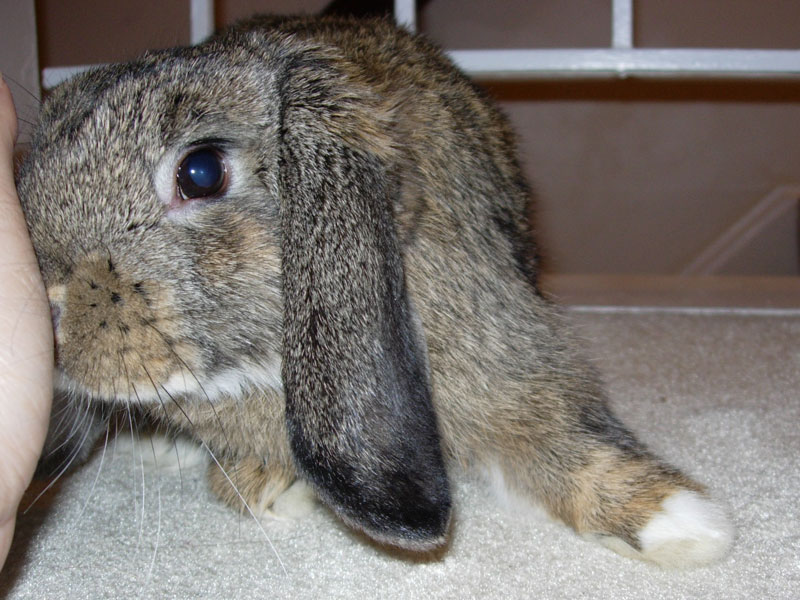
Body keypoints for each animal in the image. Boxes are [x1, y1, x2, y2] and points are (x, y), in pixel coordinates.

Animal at [17, 15, 732, 568]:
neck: (263, 374)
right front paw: (265, 487)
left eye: (200, 172)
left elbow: (558, 440)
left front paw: (685, 524)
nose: (45, 309)